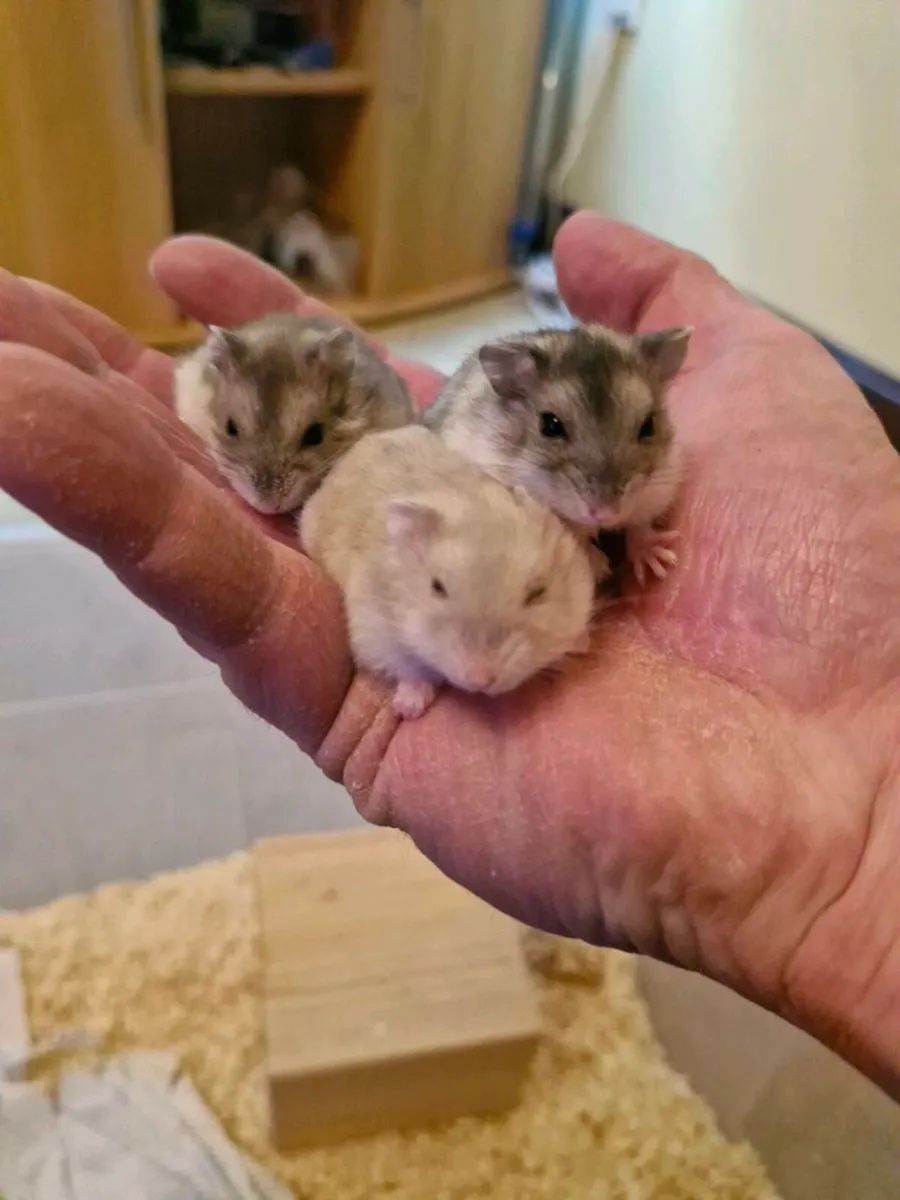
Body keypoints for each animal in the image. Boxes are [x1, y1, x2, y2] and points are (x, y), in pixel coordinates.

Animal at [299, 425, 596, 719]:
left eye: (538, 593)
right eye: (437, 587)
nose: (479, 680)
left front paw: (583, 642)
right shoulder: (373, 629)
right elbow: (408, 666)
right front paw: (409, 708)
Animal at [422, 323, 692, 585]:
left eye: (649, 425)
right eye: (550, 426)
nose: (606, 514)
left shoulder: (656, 491)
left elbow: (639, 525)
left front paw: (658, 562)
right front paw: (599, 567)